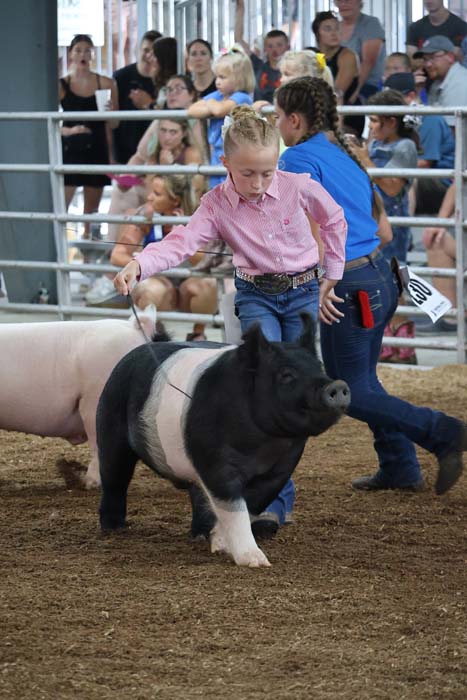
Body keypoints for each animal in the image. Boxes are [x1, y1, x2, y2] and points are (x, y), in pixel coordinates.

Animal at [97, 314, 350, 567]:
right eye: (286, 375)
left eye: (320, 367)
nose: (337, 385)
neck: (262, 446)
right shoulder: (214, 460)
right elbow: (234, 507)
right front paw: (257, 562)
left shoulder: (281, 468)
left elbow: (251, 505)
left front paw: (220, 545)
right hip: (110, 427)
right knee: (114, 480)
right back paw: (114, 528)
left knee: (197, 495)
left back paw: (199, 535)